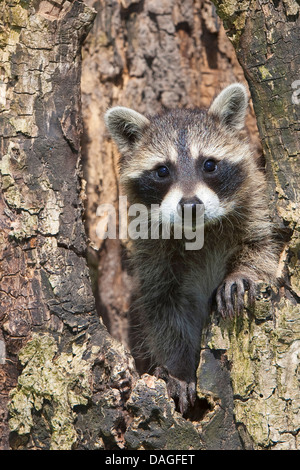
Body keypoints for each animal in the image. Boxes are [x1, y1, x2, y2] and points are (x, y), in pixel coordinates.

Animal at [104, 84, 278, 414]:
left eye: (209, 164)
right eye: (162, 171)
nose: (190, 205)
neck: (200, 230)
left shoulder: (255, 205)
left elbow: (264, 247)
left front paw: (242, 272)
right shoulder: (152, 254)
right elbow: (162, 309)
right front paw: (178, 368)